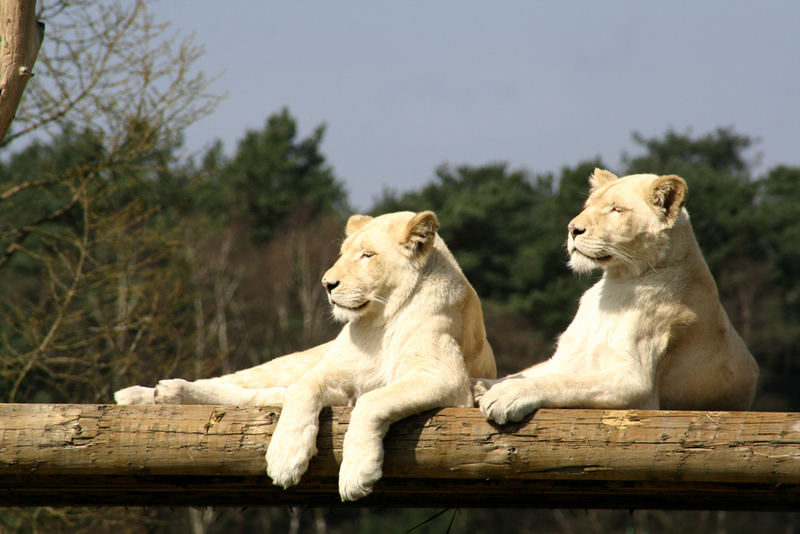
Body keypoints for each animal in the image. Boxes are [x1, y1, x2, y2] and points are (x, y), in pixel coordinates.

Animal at [115, 211, 496, 504]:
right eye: (344, 253)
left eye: (367, 255)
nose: (327, 284)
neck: (382, 320)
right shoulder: (332, 372)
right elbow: (304, 390)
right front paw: (285, 457)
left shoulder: (445, 377)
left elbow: (372, 401)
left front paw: (357, 473)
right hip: (293, 361)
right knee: (244, 384)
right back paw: (148, 393)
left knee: (255, 396)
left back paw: (162, 394)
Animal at [478, 170, 760, 426]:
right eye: (587, 206)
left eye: (616, 210)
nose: (572, 229)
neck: (616, 282)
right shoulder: (569, 357)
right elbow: (531, 374)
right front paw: (481, 385)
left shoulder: (637, 383)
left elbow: (564, 381)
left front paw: (504, 395)